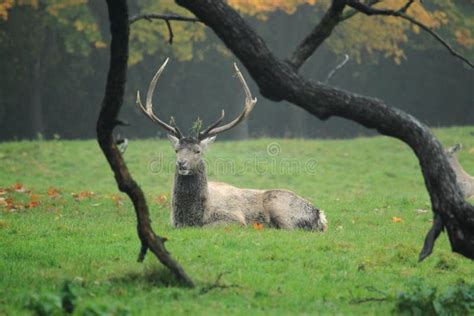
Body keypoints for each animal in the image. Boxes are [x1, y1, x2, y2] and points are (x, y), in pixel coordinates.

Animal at [135, 58, 328, 232]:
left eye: (198, 151)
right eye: (176, 150)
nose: (181, 163)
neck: (191, 218)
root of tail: (320, 215)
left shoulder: (234, 219)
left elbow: (209, 227)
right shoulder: (173, 223)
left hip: (280, 207)